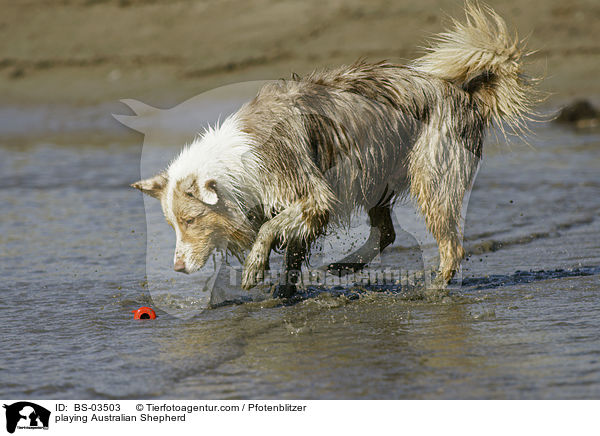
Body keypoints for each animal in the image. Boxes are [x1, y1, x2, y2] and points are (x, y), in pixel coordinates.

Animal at [134, 2, 536, 296]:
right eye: (172, 224)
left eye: (191, 220)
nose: (177, 268)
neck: (239, 164)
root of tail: (464, 92)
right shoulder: (298, 204)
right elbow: (291, 251)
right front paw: (283, 294)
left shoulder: (314, 195)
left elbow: (269, 229)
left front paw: (253, 268)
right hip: (376, 171)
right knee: (386, 232)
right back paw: (348, 265)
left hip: (430, 176)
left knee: (450, 245)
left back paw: (436, 287)